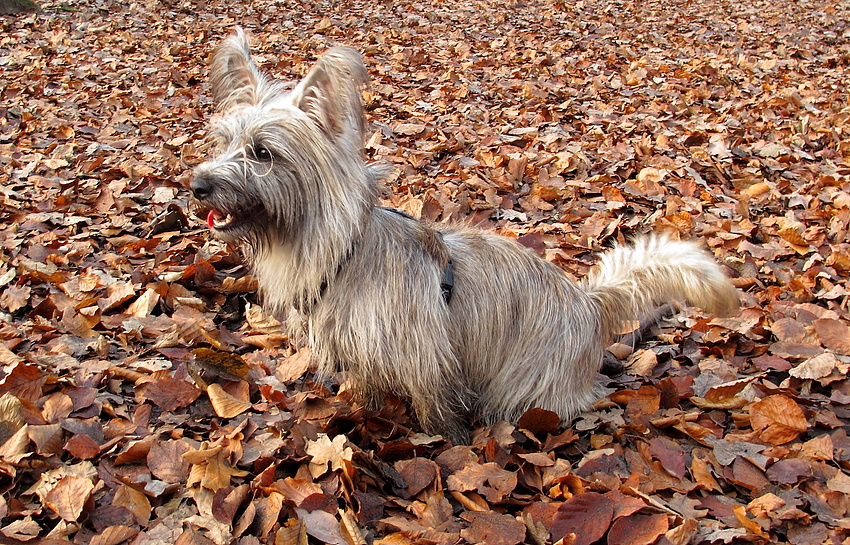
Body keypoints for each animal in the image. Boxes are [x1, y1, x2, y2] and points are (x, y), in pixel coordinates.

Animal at [190, 29, 736, 444]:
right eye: (225, 142)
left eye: (263, 152)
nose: (196, 185)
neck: (344, 250)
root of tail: (589, 306)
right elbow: (367, 388)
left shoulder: (428, 361)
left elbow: (438, 412)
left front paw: (446, 443)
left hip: (522, 385)